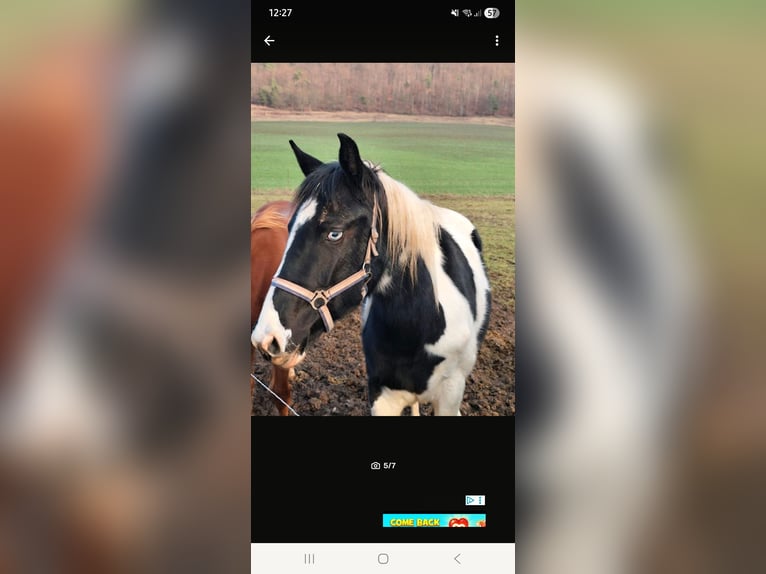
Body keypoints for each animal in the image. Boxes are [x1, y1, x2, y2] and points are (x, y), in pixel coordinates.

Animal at [251, 133, 491, 415]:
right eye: (289, 228)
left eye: (335, 233)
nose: (267, 338)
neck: (416, 326)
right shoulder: (382, 396)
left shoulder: (450, 395)